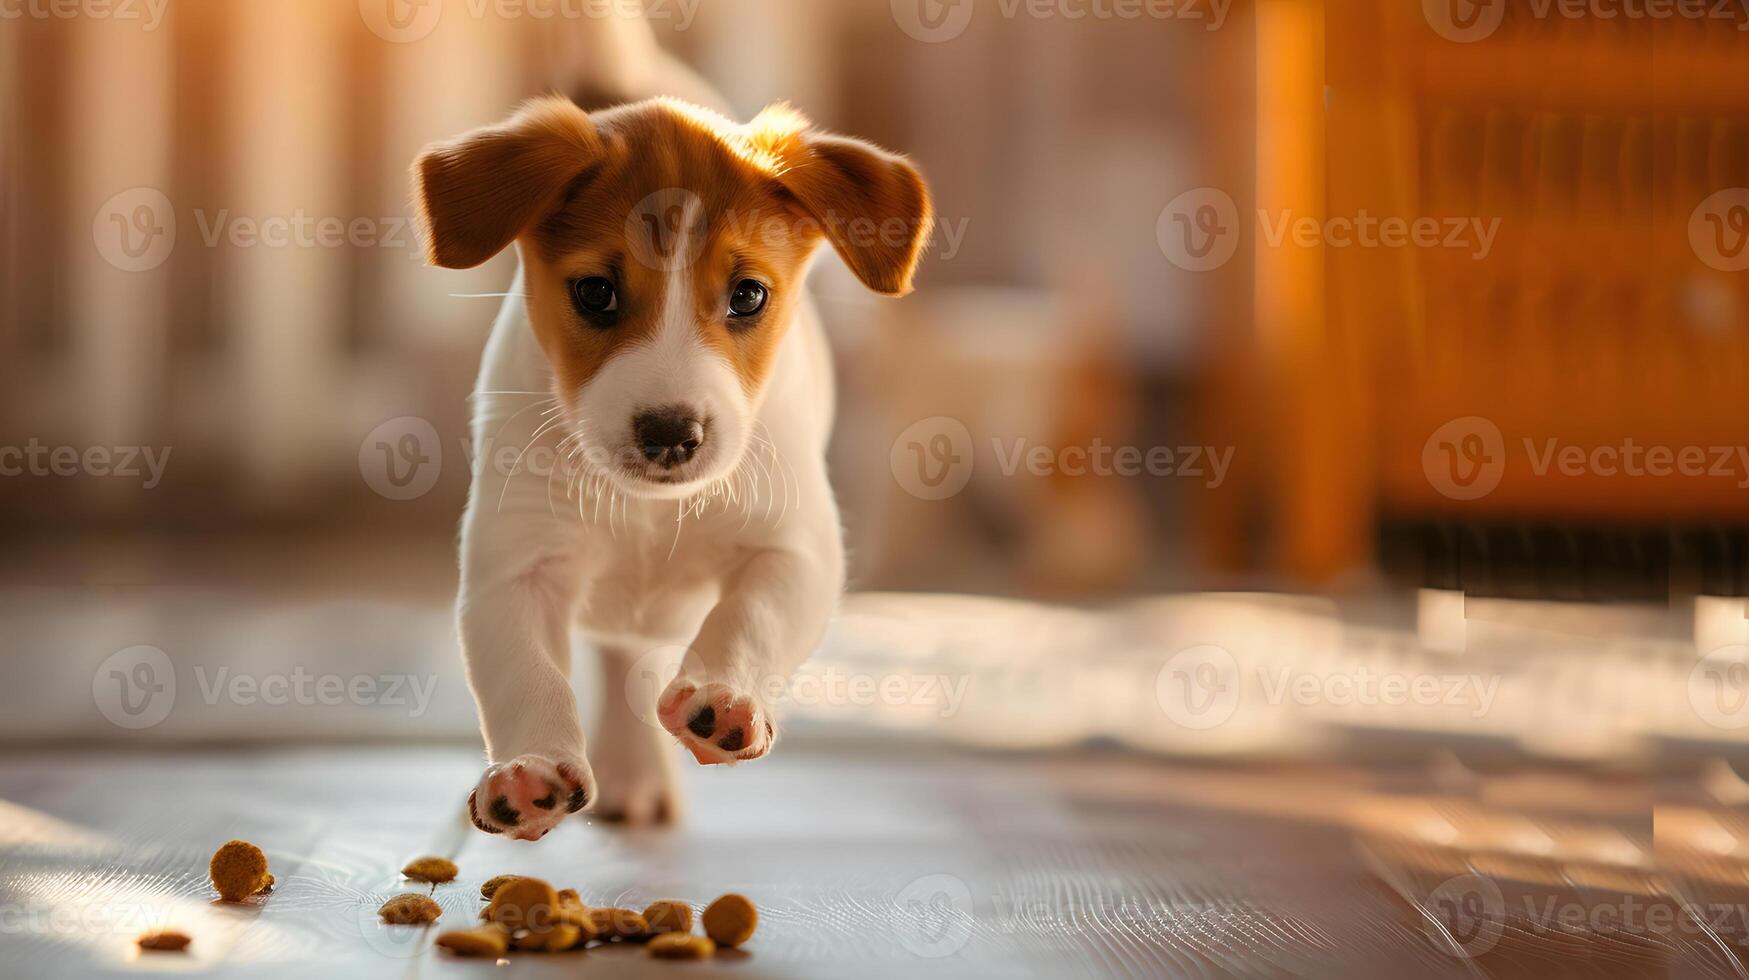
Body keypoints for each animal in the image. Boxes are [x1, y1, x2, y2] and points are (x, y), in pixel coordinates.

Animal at [412, 95, 930, 840]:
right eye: (595, 292)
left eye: (748, 295)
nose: (669, 434)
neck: (648, 509)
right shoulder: (517, 567)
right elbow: (526, 674)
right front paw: (529, 769)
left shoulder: (796, 550)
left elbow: (750, 618)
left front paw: (726, 696)